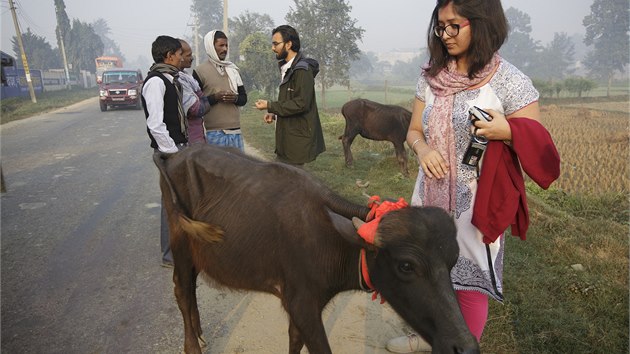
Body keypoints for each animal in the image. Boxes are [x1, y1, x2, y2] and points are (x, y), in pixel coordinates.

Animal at [153, 145, 478, 354]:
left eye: (453, 261)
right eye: (406, 266)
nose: (465, 346)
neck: (331, 239)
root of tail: (175, 155)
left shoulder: (301, 308)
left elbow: (295, 342)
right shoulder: (303, 305)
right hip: (180, 241)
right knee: (182, 290)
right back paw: (192, 346)